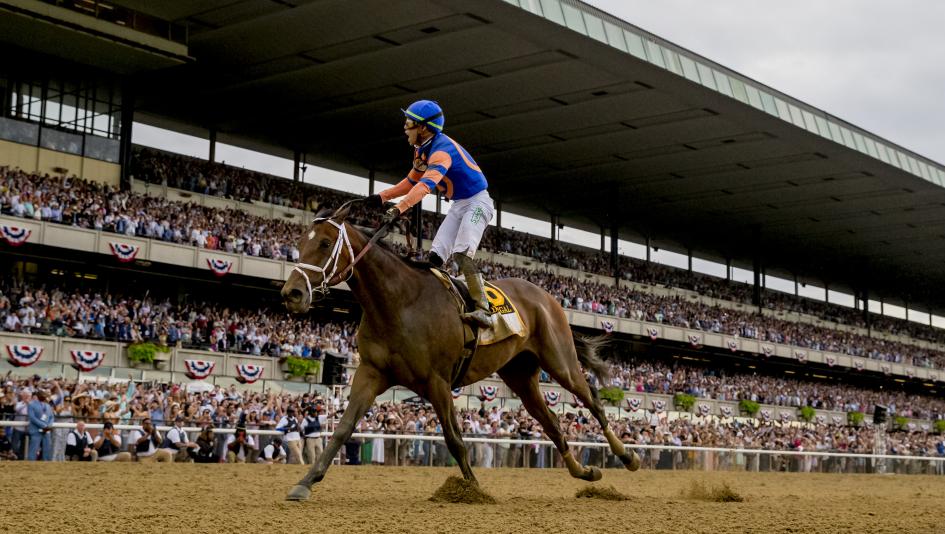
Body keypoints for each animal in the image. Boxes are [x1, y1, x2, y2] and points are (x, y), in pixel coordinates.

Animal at [279, 201, 640, 501]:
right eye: (300, 242)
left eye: (325, 243)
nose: (292, 293)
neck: (398, 302)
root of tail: (547, 296)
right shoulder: (371, 372)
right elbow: (343, 428)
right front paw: (306, 481)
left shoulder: (437, 381)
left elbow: (454, 439)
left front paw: (474, 491)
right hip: (520, 375)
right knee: (550, 421)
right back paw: (584, 471)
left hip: (560, 360)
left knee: (593, 400)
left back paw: (628, 456)